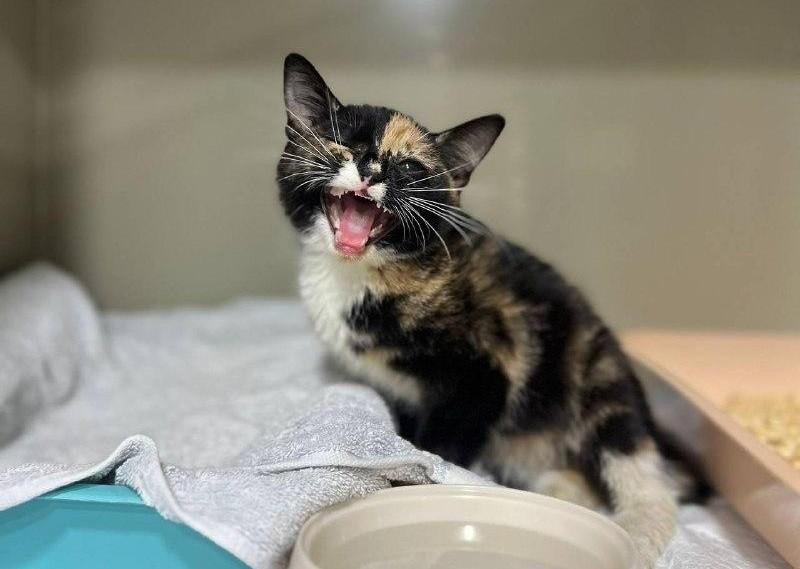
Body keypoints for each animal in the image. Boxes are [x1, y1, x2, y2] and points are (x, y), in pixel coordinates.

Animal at [276, 53, 706, 567]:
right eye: (345, 141)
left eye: (409, 168)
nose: (371, 169)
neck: (362, 273)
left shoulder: (485, 373)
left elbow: (440, 445)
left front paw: (412, 479)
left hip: (598, 374)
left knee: (639, 468)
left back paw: (637, 533)